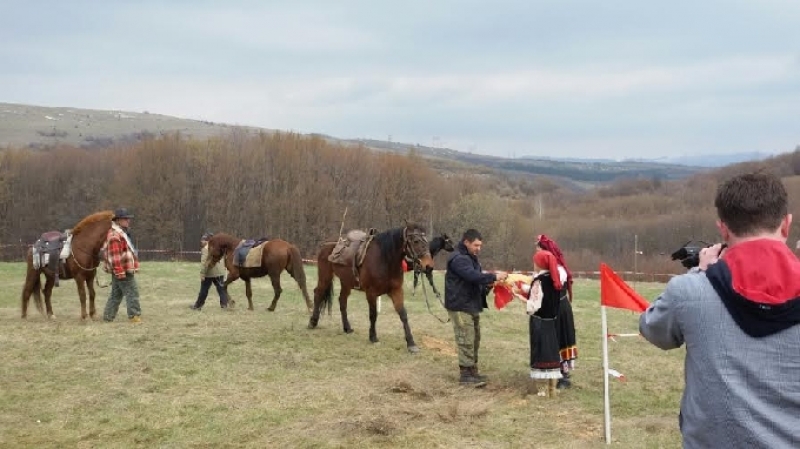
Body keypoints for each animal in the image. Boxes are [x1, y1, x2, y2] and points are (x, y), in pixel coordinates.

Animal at [306, 222, 434, 352]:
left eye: (426, 241)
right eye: (416, 241)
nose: (428, 266)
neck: (385, 259)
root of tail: (327, 244)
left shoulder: (396, 291)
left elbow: (403, 314)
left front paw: (411, 343)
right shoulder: (371, 293)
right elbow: (373, 315)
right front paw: (373, 337)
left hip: (346, 282)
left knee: (342, 300)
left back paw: (347, 327)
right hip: (325, 276)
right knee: (318, 293)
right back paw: (313, 322)